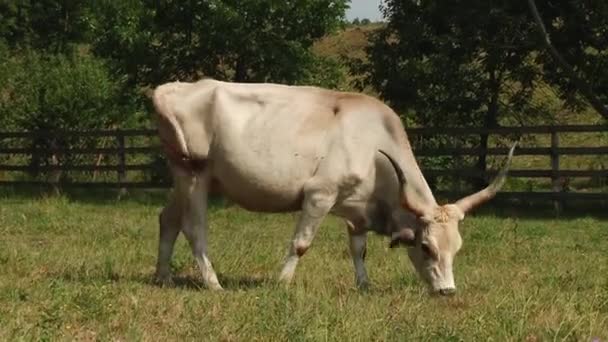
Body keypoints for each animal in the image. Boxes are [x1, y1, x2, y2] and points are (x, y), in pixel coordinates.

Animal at [150, 79, 516, 296]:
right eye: (426, 247)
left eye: (457, 248)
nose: (448, 291)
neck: (373, 145)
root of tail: (172, 88)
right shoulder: (319, 195)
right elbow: (301, 244)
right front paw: (281, 284)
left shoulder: (357, 207)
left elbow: (358, 248)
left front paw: (364, 285)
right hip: (194, 175)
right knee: (194, 228)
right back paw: (214, 284)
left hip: (186, 177)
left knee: (167, 219)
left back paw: (162, 277)